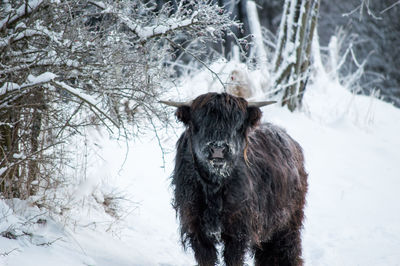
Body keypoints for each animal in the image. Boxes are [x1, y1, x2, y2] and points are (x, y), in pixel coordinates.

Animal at [161, 92, 308, 264]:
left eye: (237, 124)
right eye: (200, 121)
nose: (218, 148)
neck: (214, 185)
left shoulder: (238, 231)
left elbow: (234, 260)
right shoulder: (196, 228)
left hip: (287, 223)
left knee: (287, 252)